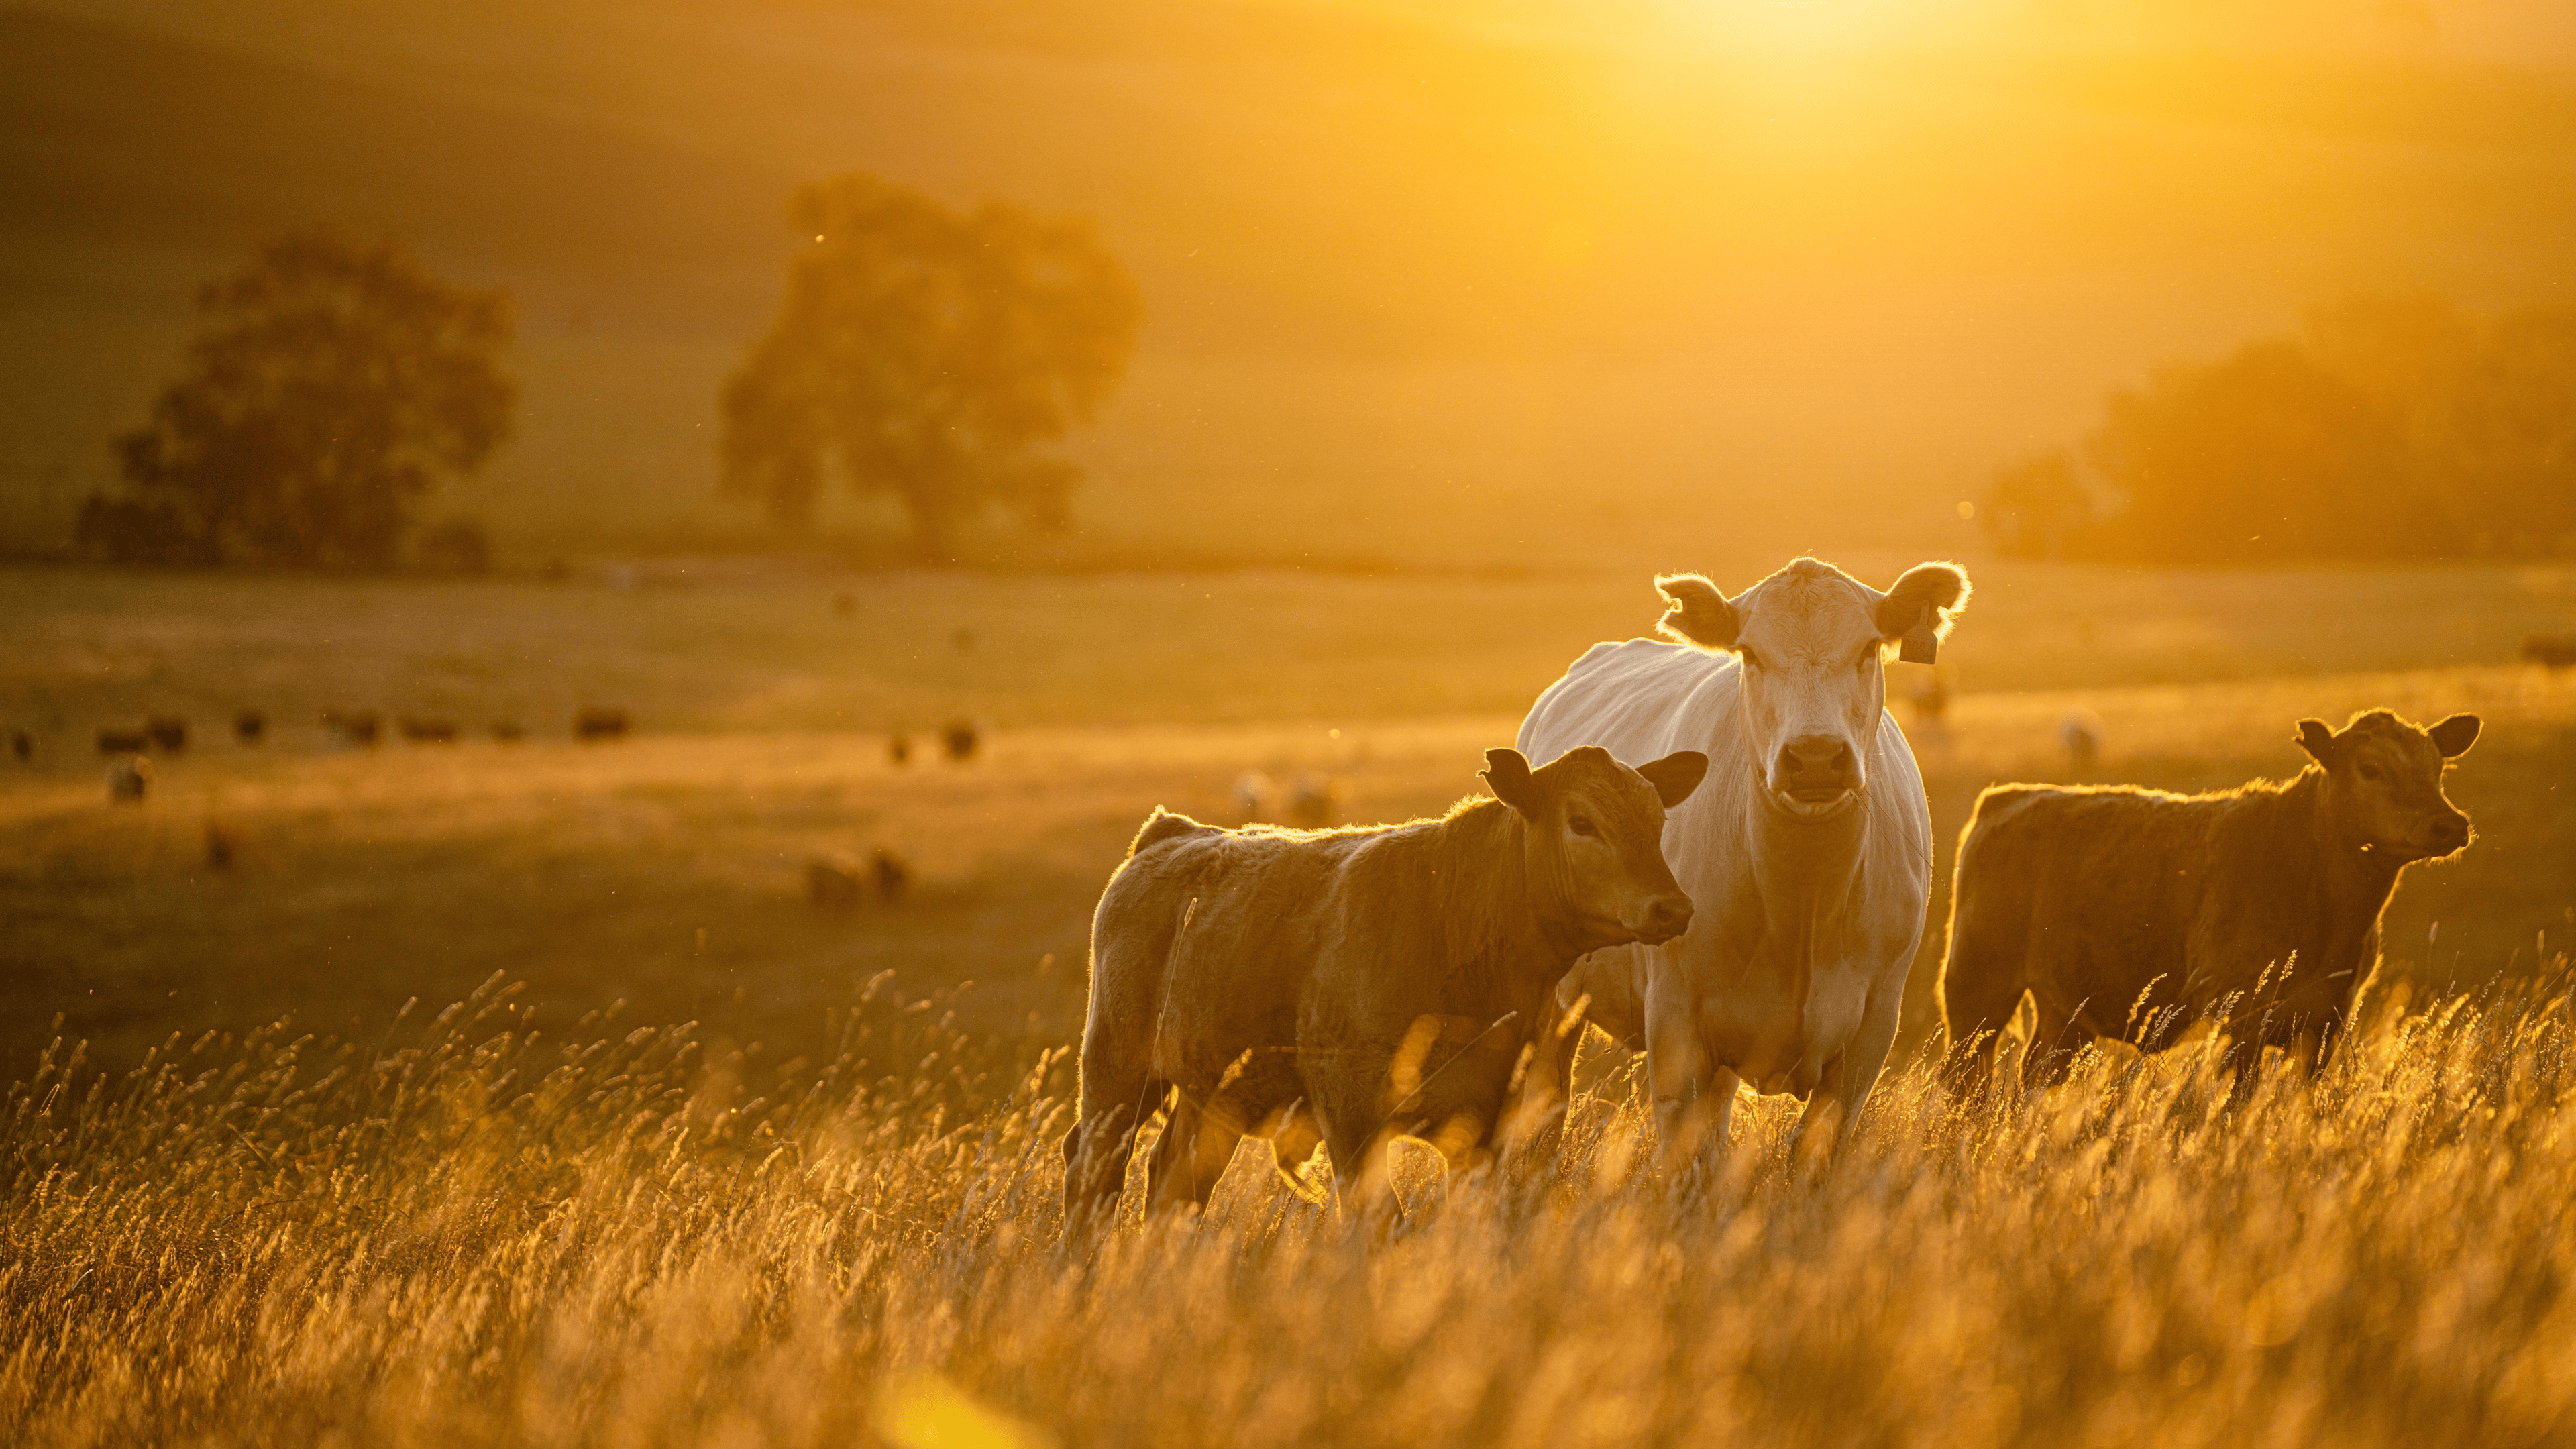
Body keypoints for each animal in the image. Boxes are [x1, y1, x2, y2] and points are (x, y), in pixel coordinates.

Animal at [1063, 744, 1707, 1220]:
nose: (1672, 909)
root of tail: (1175, 834)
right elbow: (1378, 1220)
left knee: (1176, 1181)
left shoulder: (1489, 1126)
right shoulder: (1351, 1115)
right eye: (1581, 822)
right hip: (1117, 1071)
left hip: (1213, 1095)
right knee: (1093, 1171)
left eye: (1658, 820)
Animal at [1519, 558, 1971, 1161]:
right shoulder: (1676, 1026)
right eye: (1750, 654)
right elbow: (1688, 1161)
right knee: (1544, 1108)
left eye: (1870, 648)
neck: (1803, 896)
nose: (1816, 757)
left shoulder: (1870, 1032)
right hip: (1554, 1005)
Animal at [1939, 709, 2479, 1087]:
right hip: (1976, 991)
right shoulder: (2241, 1018)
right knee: (1964, 1079)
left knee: (2035, 1073)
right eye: (2370, 769)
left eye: (2438, 769)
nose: (2450, 824)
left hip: (2065, 1010)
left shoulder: (2327, 1022)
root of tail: (2010, 797)